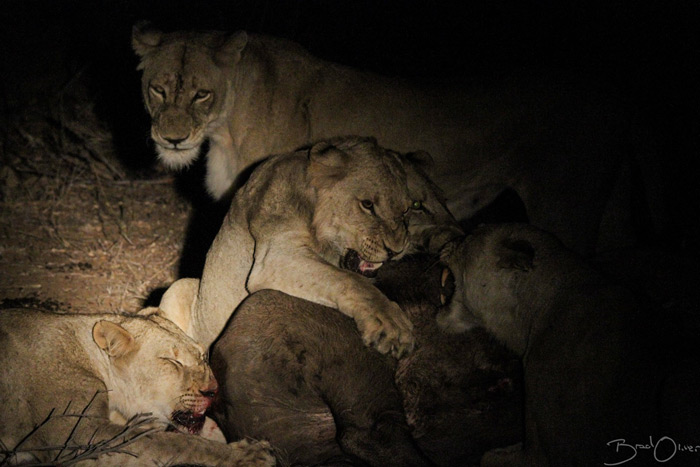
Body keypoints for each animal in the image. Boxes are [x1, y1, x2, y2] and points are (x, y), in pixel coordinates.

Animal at [0, 308, 274, 466]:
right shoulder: (77, 439)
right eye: (172, 361)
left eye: (202, 356)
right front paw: (248, 455)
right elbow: (171, 443)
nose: (213, 391)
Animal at [133, 21, 660, 256]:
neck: (223, 125)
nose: (173, 140)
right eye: (157, 88)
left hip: (566, 205)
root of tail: (619, 97)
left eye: (201, 93)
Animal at [159, 135, 464, 354]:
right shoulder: (275, 256)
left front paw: (449, 237)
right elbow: (349, 281)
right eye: (367, 205)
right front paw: (391, 324)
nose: (395, 250)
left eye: (408, 208)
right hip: (180, 288)